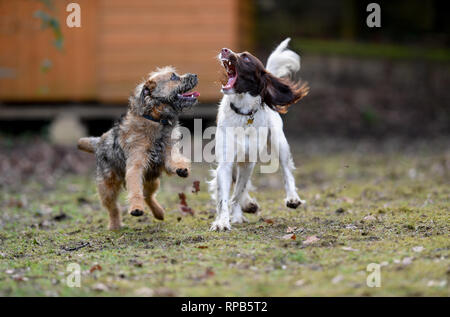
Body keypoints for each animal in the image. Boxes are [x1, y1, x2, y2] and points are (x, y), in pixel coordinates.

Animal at [77, 67, 199, 230]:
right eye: (173, 77)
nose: (195, 75)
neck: (156, 120)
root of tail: (98, 142)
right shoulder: (135, 167)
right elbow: (135, 190)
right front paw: (136, 208)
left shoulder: (167, 154)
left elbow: (175, 161)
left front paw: (181, 168)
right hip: (107, 188)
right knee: (113, 208)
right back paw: (115, 225)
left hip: (152, 179)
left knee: (148, 195)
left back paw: (159, 213)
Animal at [208, 37, 310, 230]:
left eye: (246, 58)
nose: (224, 50)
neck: (243, 113)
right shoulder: (226, 162)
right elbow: (225, 195)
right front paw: (222, 221)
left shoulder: (248, 162)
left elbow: (237, 192)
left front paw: (237, 211)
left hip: (279, 142)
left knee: (286, 169)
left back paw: (292, 198)